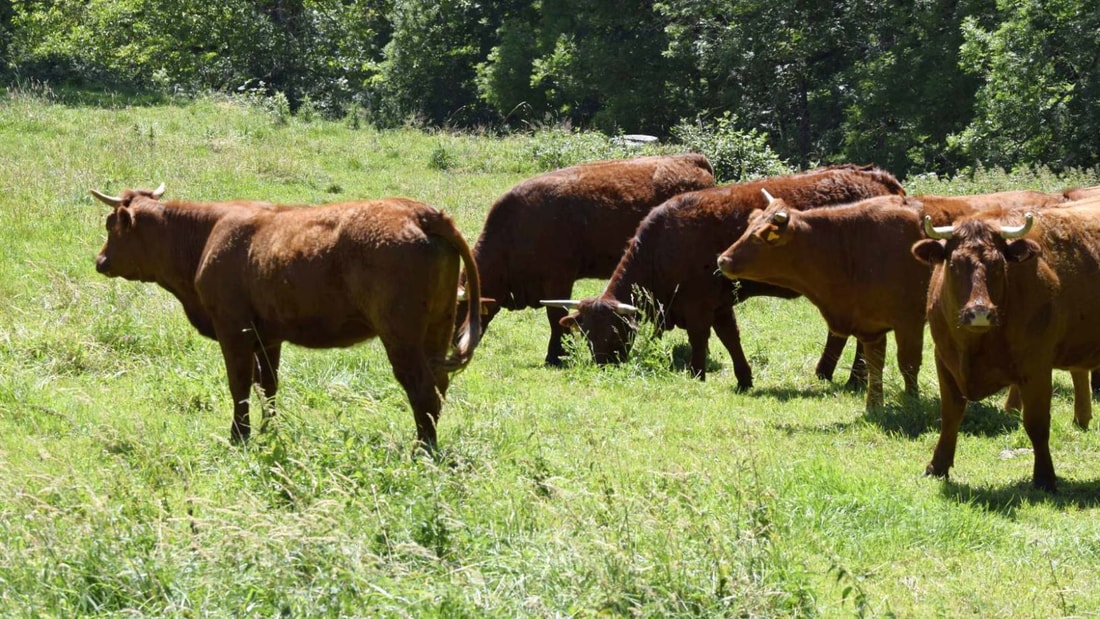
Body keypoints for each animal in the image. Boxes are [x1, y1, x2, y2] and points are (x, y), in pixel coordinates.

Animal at [96, 183, 484, 450]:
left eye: (110, 225)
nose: (100, 261)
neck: (206, 235)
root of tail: (421, 212)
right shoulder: (268, 336)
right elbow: (268, 386)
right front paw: (269, 431)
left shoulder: (232, 328)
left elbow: (239, 383)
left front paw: (239, 435)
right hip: (439, 326)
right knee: (439, 385)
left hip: (401, 336)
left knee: (422, 389)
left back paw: (422, 450)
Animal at [545, 164, 906, 387]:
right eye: (586, 333)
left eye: (614, 332)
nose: (603, 364)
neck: (664, 244)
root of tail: (877, 177)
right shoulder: (719, 303)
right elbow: (730, 338)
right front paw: (744, 378)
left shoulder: (698, 305)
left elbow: (700, 339)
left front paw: (696, 374)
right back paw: (827, 373)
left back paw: (854, 378)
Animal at [906, 201, 1100, 492]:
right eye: (953, 264)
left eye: (998, 265)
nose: (979, 313)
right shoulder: (945, 360)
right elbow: (950, 415)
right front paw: (937, 466)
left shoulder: (1036, 366)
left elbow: (1036, 422)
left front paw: (1044, 477)